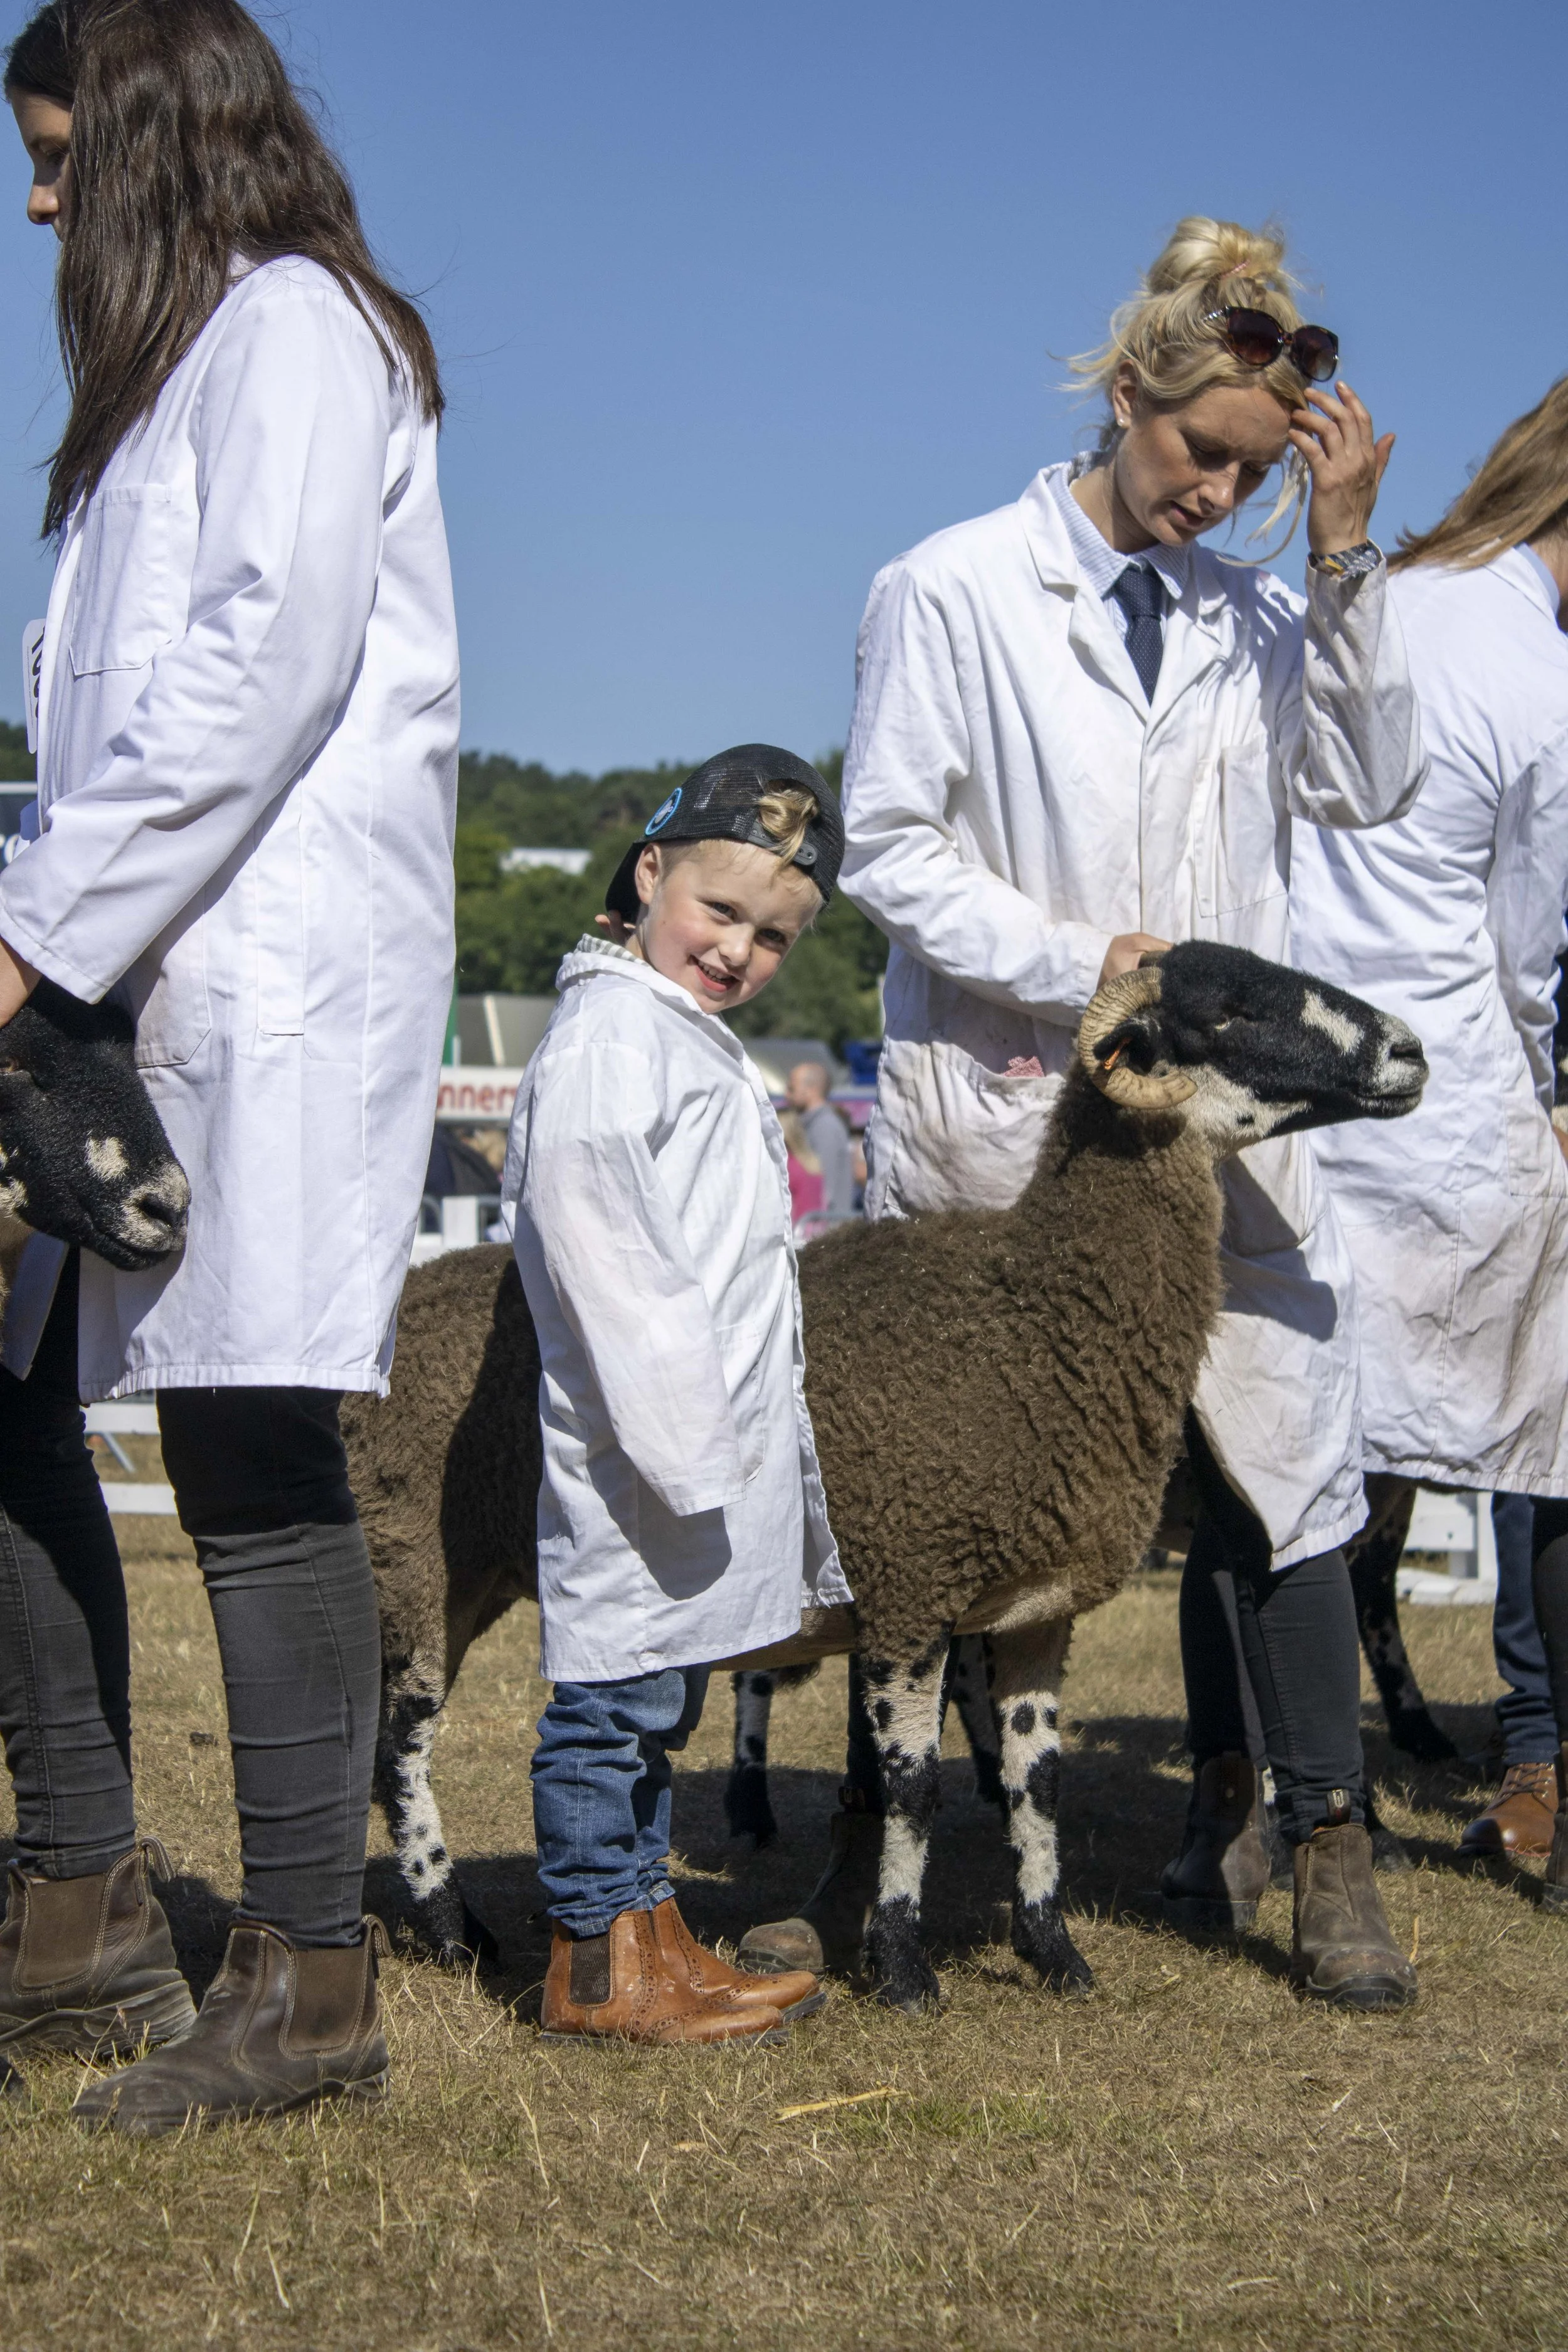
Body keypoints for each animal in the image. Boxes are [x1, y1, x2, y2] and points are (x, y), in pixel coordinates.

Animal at [343, 941, 1426, 1999]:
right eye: (1228, 1009)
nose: (1409, 1051)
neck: (1037, 1313)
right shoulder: (913, 1584)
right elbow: (913, 1783)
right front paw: (901, 1962)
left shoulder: (1032, 1612)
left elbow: (1038, 1783)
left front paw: (1054, 1953)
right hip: (415, 1564)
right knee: (399, 1752)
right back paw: (454, 1931)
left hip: (465, 1580)